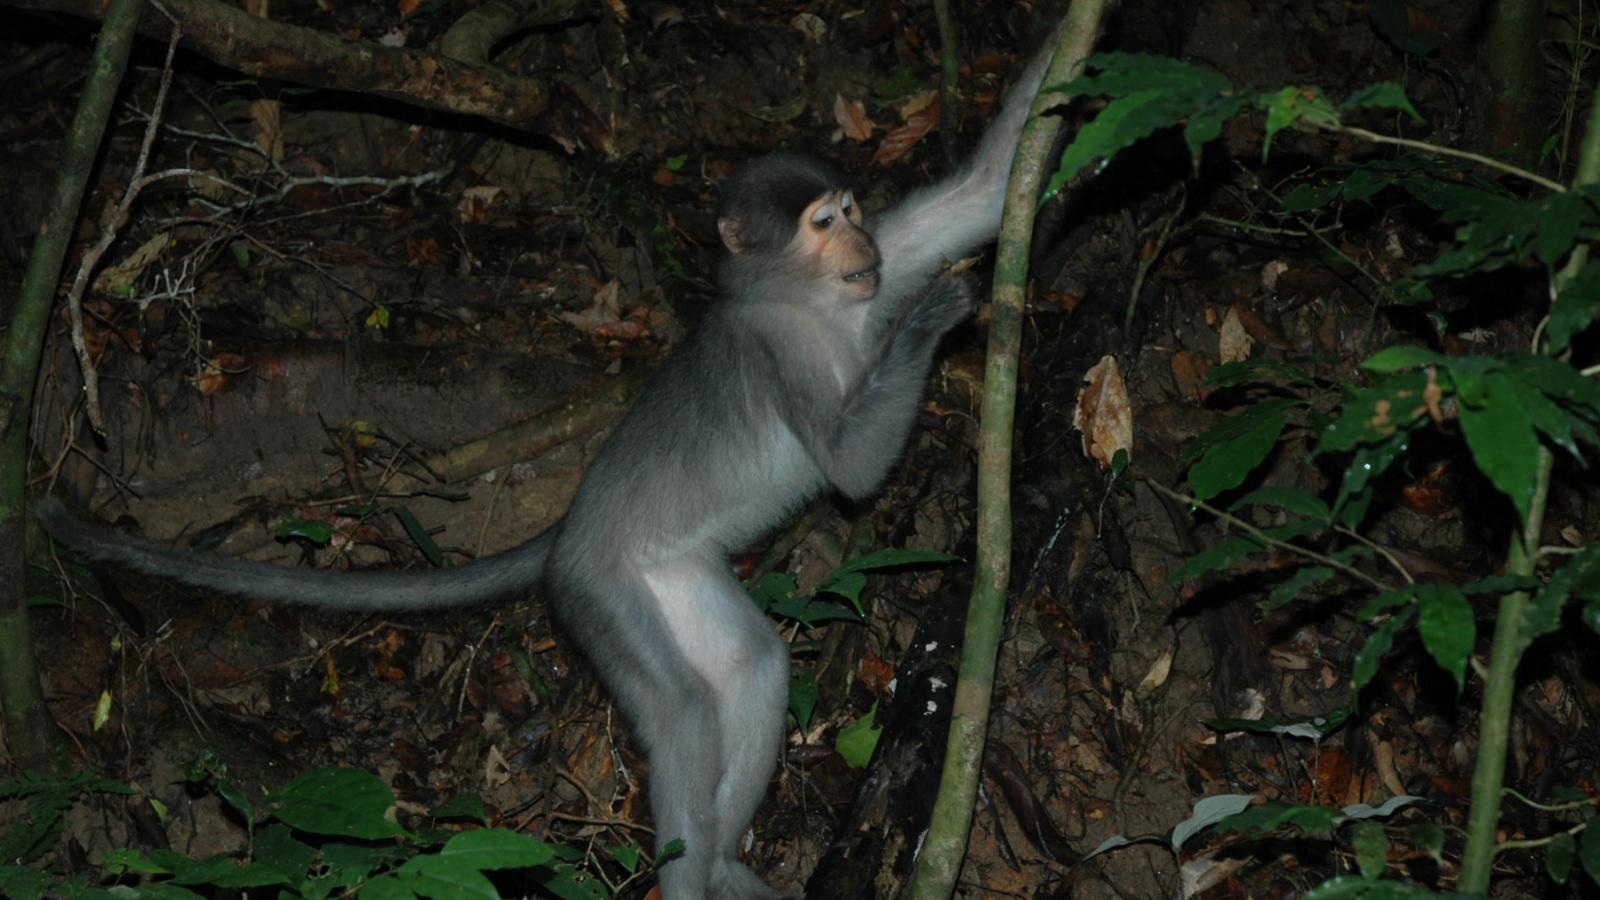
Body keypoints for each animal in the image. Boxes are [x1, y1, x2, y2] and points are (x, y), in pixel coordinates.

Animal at [37, 29, 1057, 900]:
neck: (810, 307)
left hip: (671, 574)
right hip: (598, 589)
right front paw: (932, 317)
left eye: (851, 213)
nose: (864, 245)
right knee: (683, 708)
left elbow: (980, 192)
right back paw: (694, 872)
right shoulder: (780, 354)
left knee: (753, 664)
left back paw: (724, 859)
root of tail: (568, 530)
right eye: (821, 222)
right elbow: (847, 468)